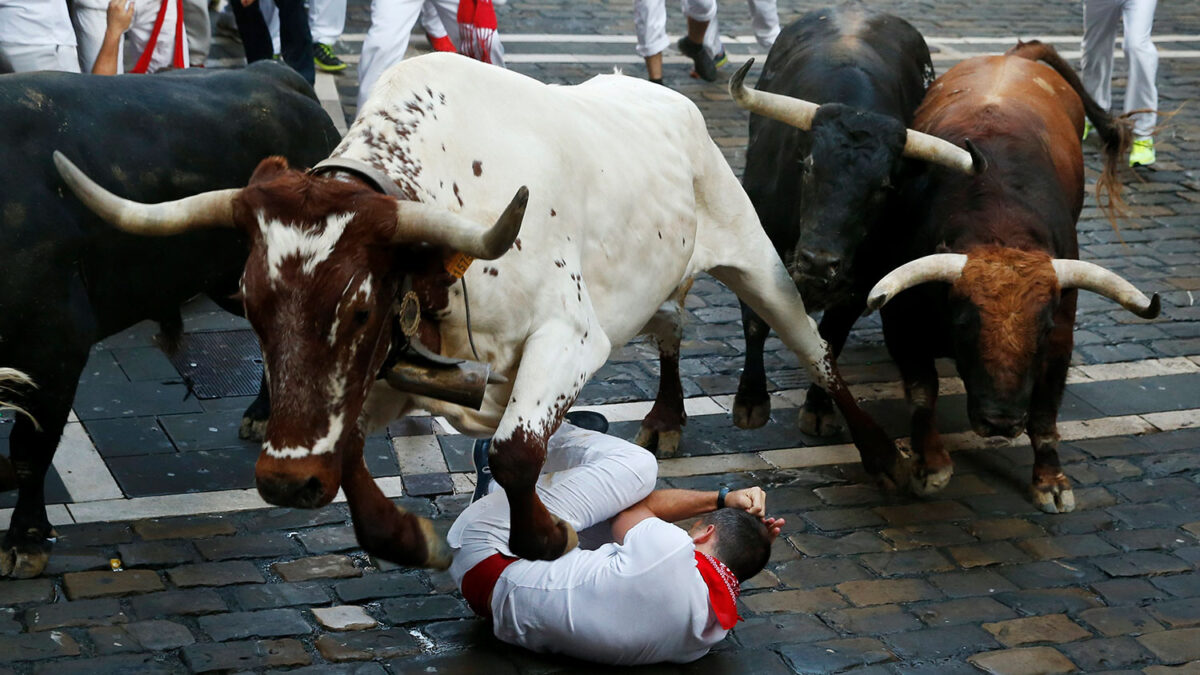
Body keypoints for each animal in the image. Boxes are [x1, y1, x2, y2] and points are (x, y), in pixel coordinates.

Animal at [868, 42, 1156, 509]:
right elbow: (923, 392)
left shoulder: (1061, 335)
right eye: (963, 324)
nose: (1001, 422)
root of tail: (1015, 54)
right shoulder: (901, 320)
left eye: (1042, 329)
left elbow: (1045, 413)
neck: (999, 221)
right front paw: (931, 464)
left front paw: (1051, 480)